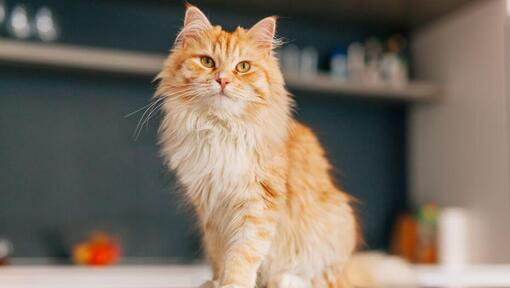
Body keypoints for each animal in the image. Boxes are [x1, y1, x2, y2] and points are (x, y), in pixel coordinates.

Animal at [155, 4, 358, 288]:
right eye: (207, 62)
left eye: (242, 67)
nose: (223, 80)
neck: (222, 130)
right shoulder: (212, 211)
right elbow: (221, 255)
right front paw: (216, 282)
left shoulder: (258, 203)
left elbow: (243, 255)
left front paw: (233, 284)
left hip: (335, 224)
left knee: (324, 279)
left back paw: (284, 280)